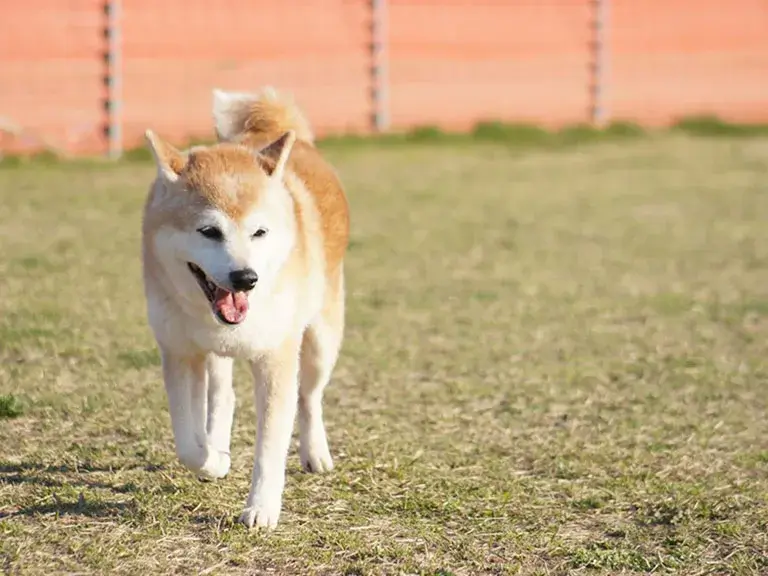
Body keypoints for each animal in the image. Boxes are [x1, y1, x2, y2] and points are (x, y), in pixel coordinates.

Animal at [142, 86, 352, 532]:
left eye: (260, 232)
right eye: (209, 231)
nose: (245, 278)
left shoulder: (275, 359)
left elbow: (271, 447)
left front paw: (261, 508)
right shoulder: (179, 351)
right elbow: (188, 442)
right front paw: (213, 460)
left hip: (320, 341)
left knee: (309, 397)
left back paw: (315, 452)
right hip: (214, 356)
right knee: (223, 396)